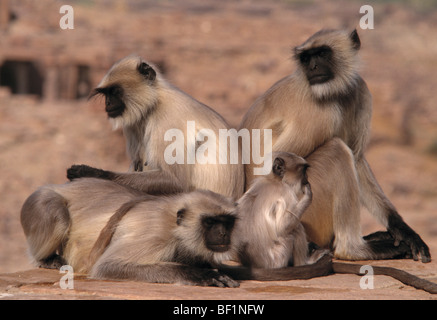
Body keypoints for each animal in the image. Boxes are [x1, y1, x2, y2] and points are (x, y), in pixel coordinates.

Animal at [20, 180, 238, 288]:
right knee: (57, 211)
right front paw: (200, 275)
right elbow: (108, 266)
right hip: (42, 201)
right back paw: (45, 259)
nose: (222, 234)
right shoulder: (155, 233)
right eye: (210, 222)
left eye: (227, 222)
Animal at [67, 55, 244, 198]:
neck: (154, 102)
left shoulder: (168, 118)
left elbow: (174, 181)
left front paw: (89, 172)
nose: (108, 103)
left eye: (115, 91)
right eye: (106, 94)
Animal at [238, 28, 430, 262]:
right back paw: (354, 249)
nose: (312, 67)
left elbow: (357, 158)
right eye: (306, 58)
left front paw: (403, 230)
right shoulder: (319, 111)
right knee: (336, 149)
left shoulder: (360, 90)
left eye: (321, 53)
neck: (333, 92)